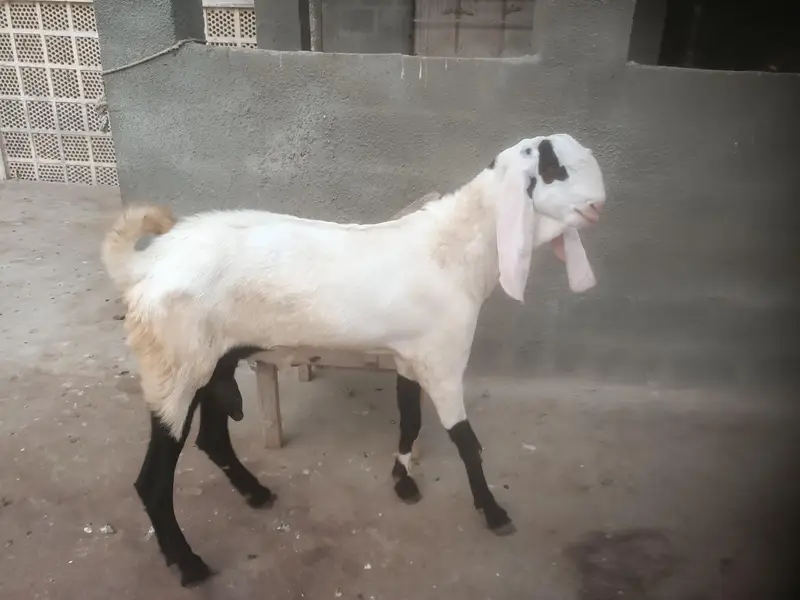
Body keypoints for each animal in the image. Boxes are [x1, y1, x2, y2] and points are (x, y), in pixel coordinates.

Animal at [101, 134, 606, 586]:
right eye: (554, 169)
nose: (599, 207)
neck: (456, 251)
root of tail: (146, 264)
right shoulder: (443, 359)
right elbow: (466, 442)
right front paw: (493, 511)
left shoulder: (410, 354)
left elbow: (409, 419)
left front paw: (402, 481)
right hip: (173, 368)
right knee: (153, 480)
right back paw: (189, 565)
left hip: (213, 362)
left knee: (212, 439)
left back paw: (256, 493)